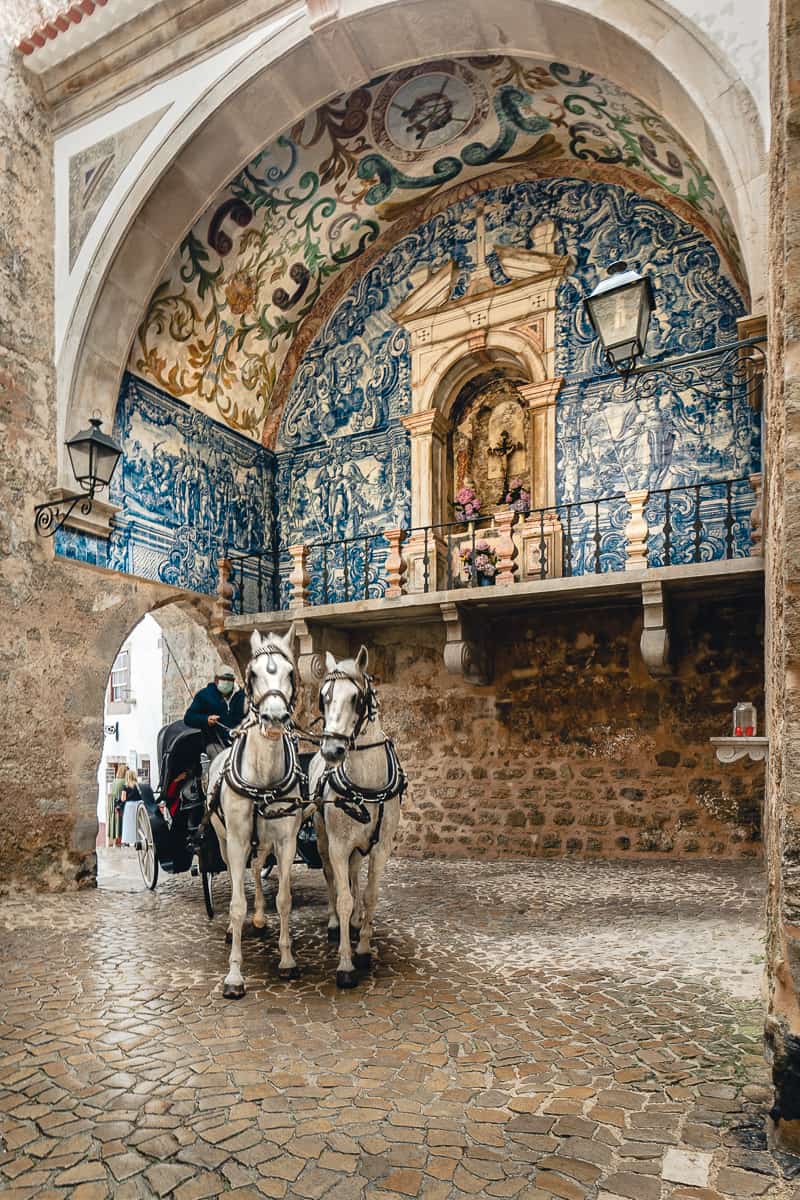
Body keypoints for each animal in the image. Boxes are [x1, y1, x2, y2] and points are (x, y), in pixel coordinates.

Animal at [208, 624, 304, 998]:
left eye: (291, 672)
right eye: (252, 674)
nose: (275, 719)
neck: (263, 776)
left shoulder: (286, 840)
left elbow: (284, 899)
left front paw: (287, 959)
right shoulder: (236, 839)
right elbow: (237, 905)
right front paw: (234, 976)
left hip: (263, 841)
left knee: (257, 868)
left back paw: (261, 918)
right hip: (224, 841)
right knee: (239, 876)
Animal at [309, 652, 402, 988]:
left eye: (356, 699)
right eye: (324, 697)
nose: (332, 750)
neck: (366, 785)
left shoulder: (381, 847)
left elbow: (370, 894)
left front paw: (363, 947)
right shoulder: (337, 845)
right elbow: (344, 898)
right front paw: (346, 964)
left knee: (353, 875)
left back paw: (357, 921)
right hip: (323, 840)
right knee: (332, 878)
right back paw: (337, 923)